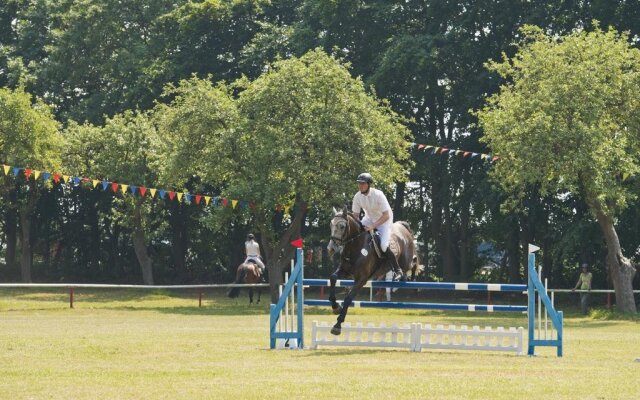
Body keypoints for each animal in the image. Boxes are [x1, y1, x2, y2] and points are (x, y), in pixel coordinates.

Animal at [328, 206, 422, 334]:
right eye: (330, 225)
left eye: (342, 226)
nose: (331, 248)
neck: (355, 247)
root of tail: (402, 226)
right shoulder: (345, 271)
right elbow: (333, 278)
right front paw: (335, 307)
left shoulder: (361, 279)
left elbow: (348, 298)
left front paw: (337, 325)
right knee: (404, 270)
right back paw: (399, 279)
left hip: (406, 261)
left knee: (414, 262)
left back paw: (413, 283)